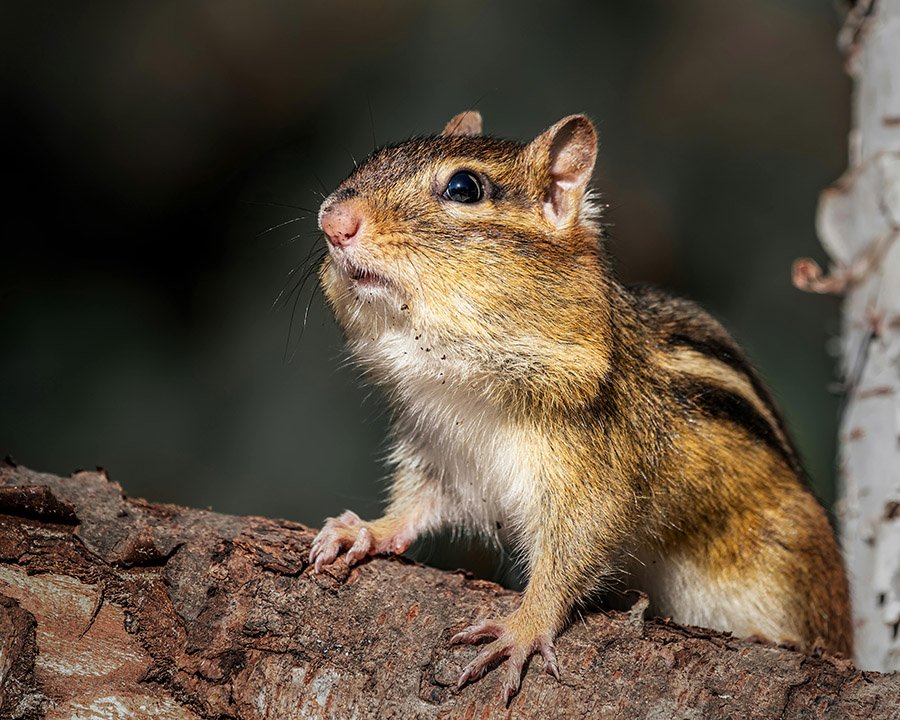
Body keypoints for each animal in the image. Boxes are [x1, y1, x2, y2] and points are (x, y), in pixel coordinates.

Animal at [308, 110, 853, 702]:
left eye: (464, 188)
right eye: (371, 159)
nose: (333, 221)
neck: (463, 384)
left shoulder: (594, 470)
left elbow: (575, 550)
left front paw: (523, 628)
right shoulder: (440, 453)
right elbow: (414, 508)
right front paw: (367, 530)